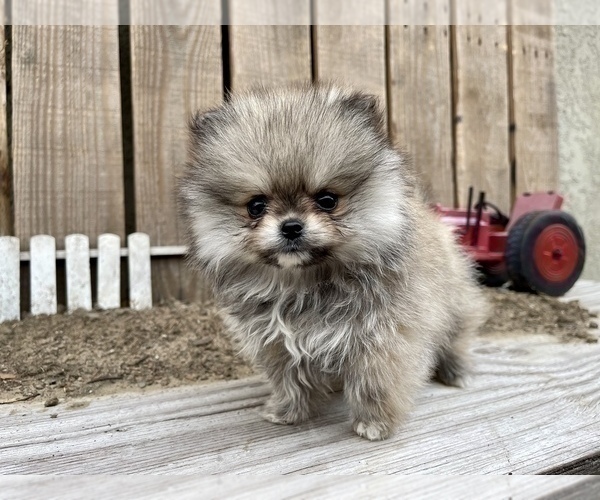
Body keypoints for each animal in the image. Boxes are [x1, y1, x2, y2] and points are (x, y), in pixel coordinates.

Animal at [176, 84, 486, 440]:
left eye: (327, 200)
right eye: (256, 206)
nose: (291, 226)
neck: (306, 284)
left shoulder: (383, 337)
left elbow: (374, 383)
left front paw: (374, 423)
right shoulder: (276, 341)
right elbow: (288, 380)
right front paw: (287, 411)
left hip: (456, 305)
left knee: (457, 338)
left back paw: (457, 372)